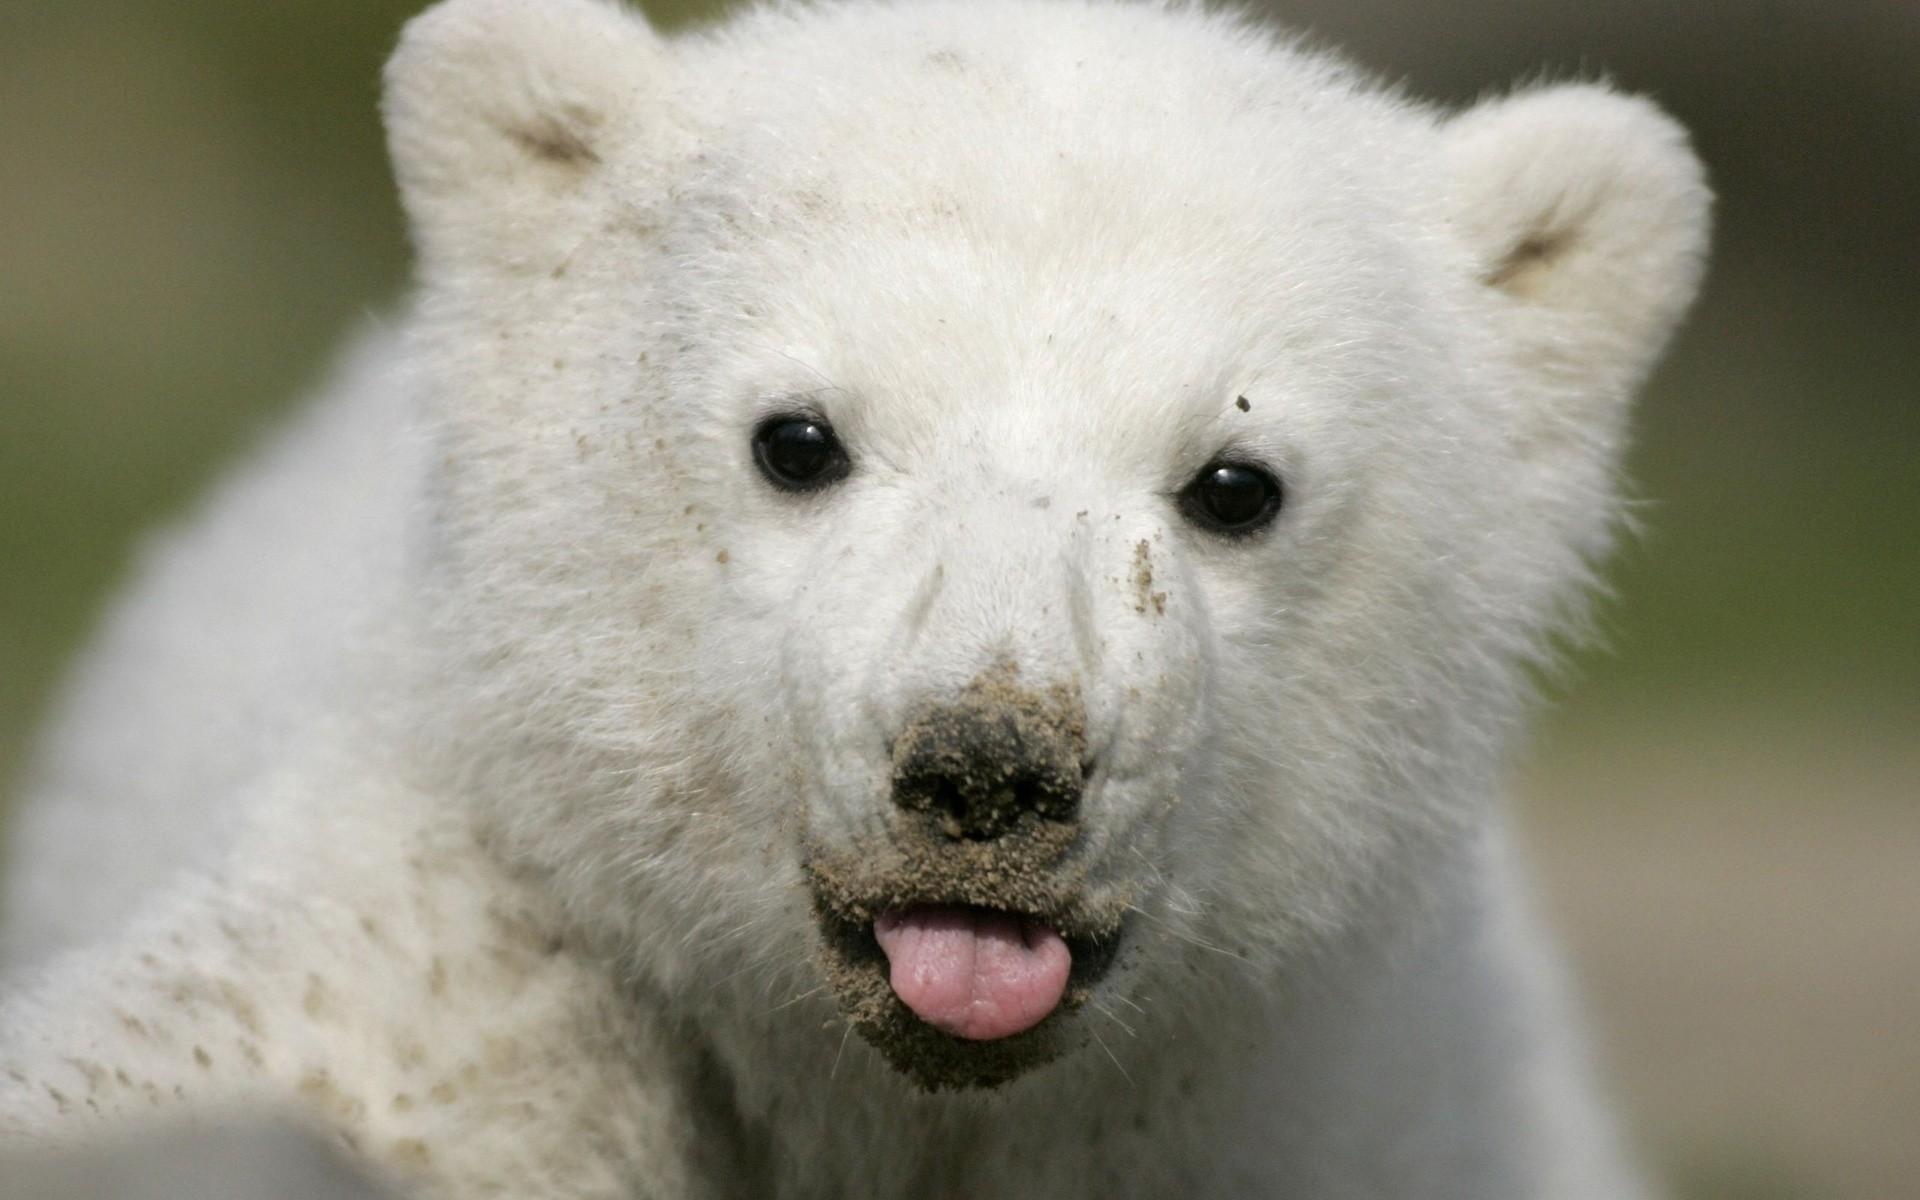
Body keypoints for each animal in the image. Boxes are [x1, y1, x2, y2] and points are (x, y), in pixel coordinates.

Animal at [0, 0, 1710, 1195]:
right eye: (798, 438)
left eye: (1237, 482)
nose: (990, 773)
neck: (884, 1105)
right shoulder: (477, 982)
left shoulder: (1330, 1110)